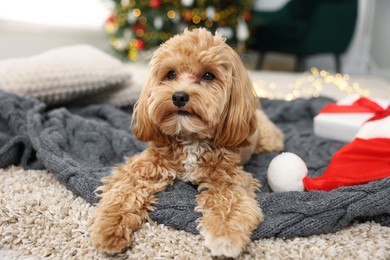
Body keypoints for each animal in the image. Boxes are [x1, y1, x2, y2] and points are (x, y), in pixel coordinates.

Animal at [89, 29, 282, 258]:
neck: (190, 137)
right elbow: (123, 193)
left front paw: (225, 236)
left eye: (208, 75)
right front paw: (109, 227)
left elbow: (229, 202)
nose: (179, 96)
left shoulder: (229, 178)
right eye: (171, 74)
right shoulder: (143, 168)